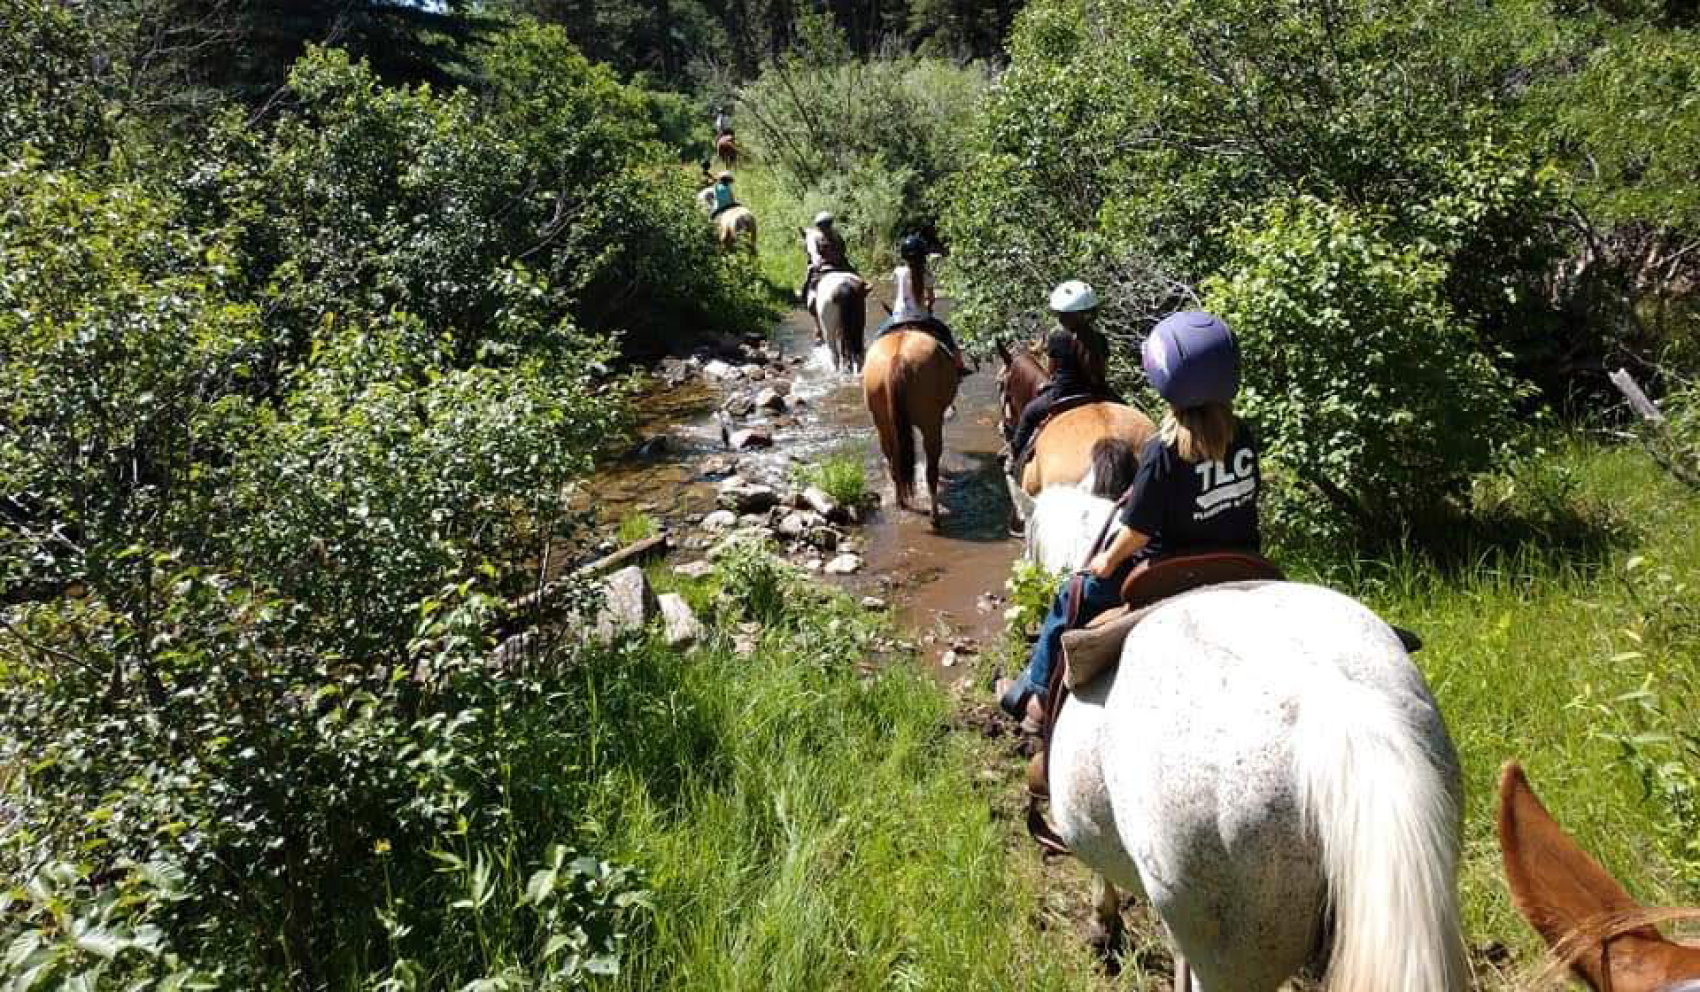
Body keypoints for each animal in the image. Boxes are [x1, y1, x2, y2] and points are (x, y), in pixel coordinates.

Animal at [863, 327, 958, 526]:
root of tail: (898, 358)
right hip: (931, 422)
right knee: (931, 472)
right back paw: (934, 517)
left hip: (883, 423)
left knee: (894, 464)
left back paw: (901, 503)